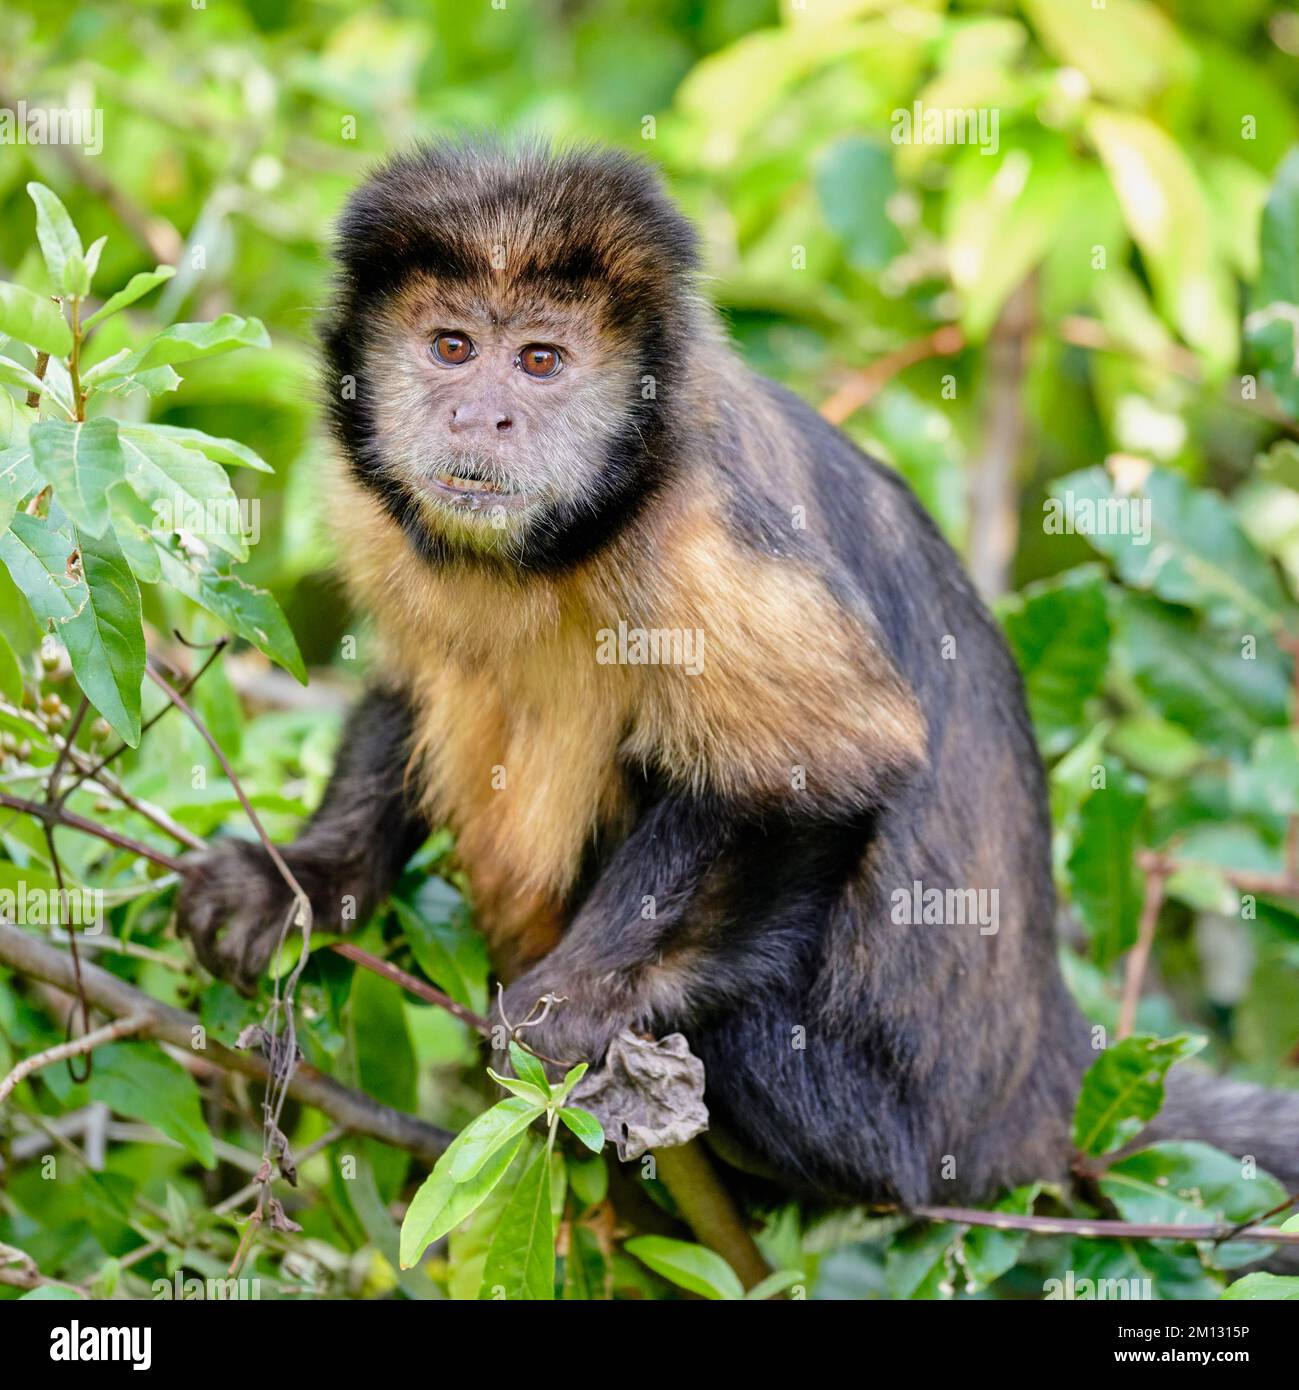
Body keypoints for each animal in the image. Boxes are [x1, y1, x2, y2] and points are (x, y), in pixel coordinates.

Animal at [177, 139, 1299, 1209]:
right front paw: (303, 882)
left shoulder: (701, 529)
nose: (481, 418)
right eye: (452, 347)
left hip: (879, 1129)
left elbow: (841, 759)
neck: (569, 537)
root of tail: (1044, 1079)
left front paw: (581, 1002)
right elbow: (408, 689)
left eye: (540, 361)